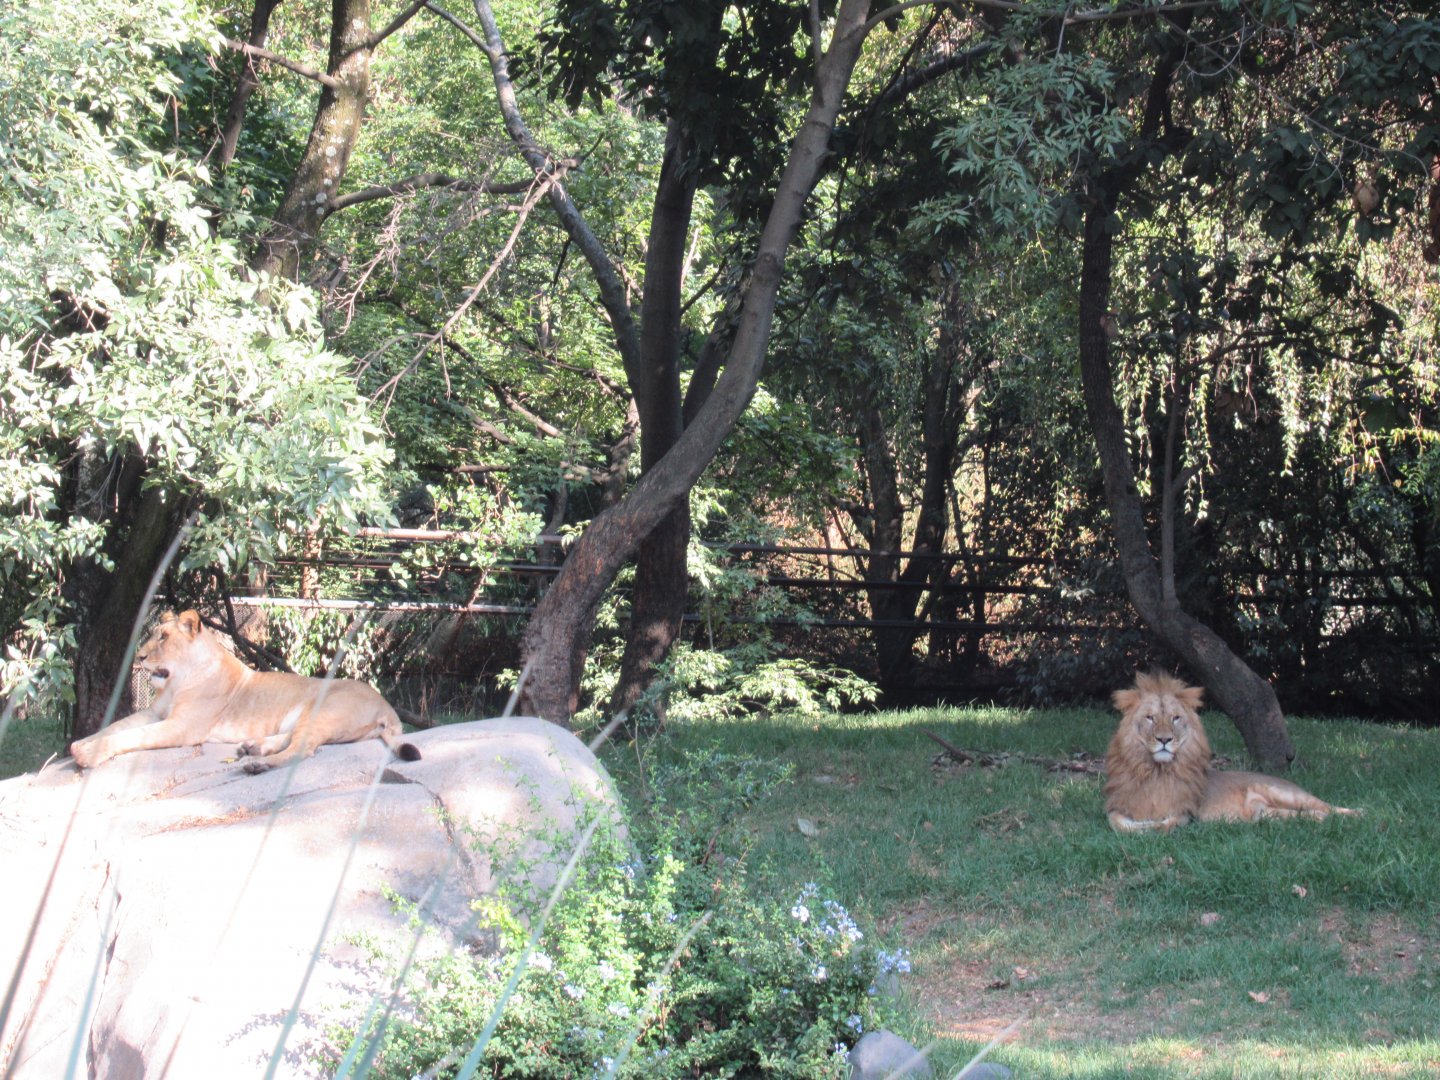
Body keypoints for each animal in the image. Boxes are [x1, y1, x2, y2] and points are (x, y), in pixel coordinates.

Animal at [69, 609, 420, 774]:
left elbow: (131, 736)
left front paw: (87, 754)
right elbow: (116, 726)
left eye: (164, 638)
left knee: (302, 750)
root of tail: (386, 706)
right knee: (294, 739)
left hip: (323, 707)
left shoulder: (182, 727)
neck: (177, 680)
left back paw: (257, 765)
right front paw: (81, 744)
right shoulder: (154, 712)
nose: (140, 657)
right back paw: (252, 748)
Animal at [1103, 671, 1354, 833]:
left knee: (1329, 806)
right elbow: (1118, 824)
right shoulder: (1117, 807)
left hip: (1285, 793)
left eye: (1175, 718)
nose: (1164, 739)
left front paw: (1153, 827)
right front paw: (1140, 827)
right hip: (1266, 814)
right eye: (1150, 717)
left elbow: (1167, 823)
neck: (1156, 771)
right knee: (1300, 815)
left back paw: (1358, 815)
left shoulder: (1184, 810)